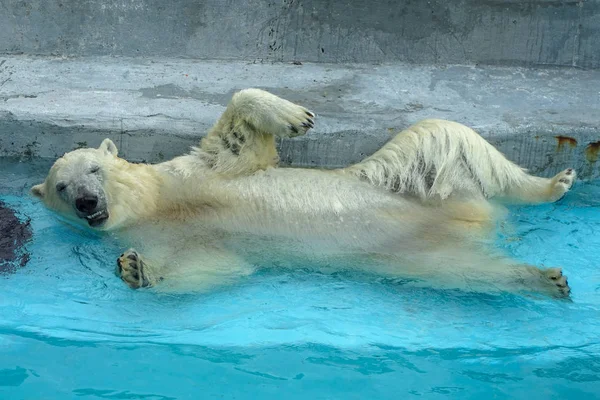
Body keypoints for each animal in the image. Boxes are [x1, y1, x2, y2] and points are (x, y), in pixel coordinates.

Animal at [30, 89, 576, 298]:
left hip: (417, 182)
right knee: (464, 272)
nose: (86, 202)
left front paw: (296, 117)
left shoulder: (196, 172)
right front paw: (135, 269)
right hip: (415, 252)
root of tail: (472, 219)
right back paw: (546, 278)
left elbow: (240, 136)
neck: (156, 202)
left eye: (95, 168)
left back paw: (553, 184)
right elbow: (208, 265)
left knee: (447, 134)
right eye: (62, 187)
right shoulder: (178, 234)